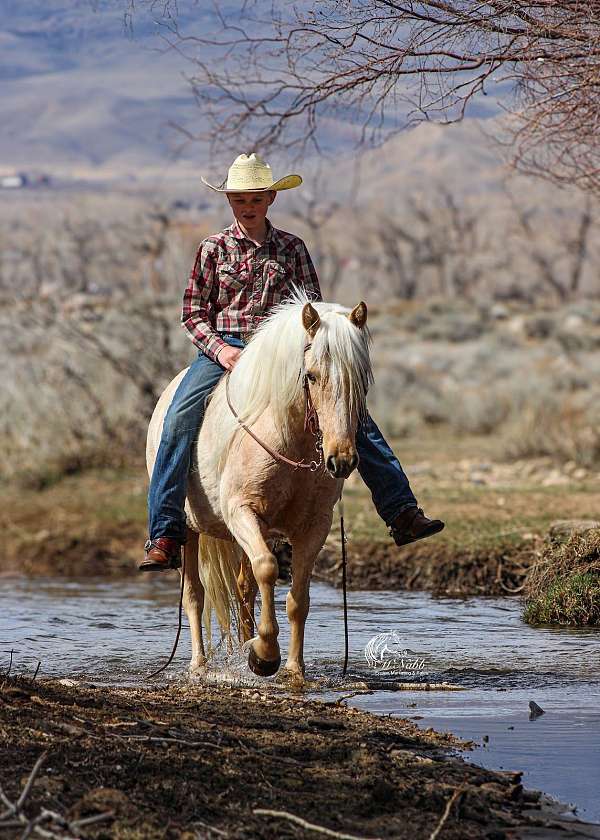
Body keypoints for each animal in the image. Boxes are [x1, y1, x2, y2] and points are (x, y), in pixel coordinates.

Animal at [146, 293, 372, 682]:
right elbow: (267, 568)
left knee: (244, 587)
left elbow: (298, 598)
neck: (289, 439)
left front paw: (293, 669)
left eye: (360, 379)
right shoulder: (242, 511)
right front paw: (264, 656)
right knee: (195, 594)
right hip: (189, 529)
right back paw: (199, 665)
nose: (341, 460)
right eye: (311, 375)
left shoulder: (314, 526)